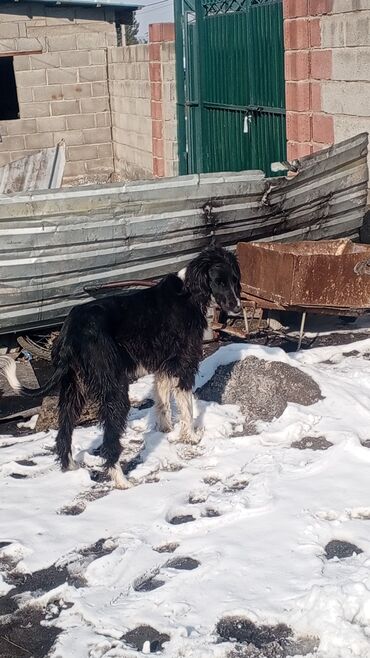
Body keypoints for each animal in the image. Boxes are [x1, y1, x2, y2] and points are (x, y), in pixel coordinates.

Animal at [0, 245, 240, 486]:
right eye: (218, 281)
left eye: (235, 279)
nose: (237, 307)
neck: (189, 291)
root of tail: (71, 330)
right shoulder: (184, 363)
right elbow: (186, 406)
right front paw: (190, 436)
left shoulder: (163, 364)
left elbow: (162, 399)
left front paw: (165, 430)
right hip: (115, 389)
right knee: (108, 442)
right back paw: (121, 480)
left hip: (73, 390)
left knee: (64, 433)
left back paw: (71, 468)